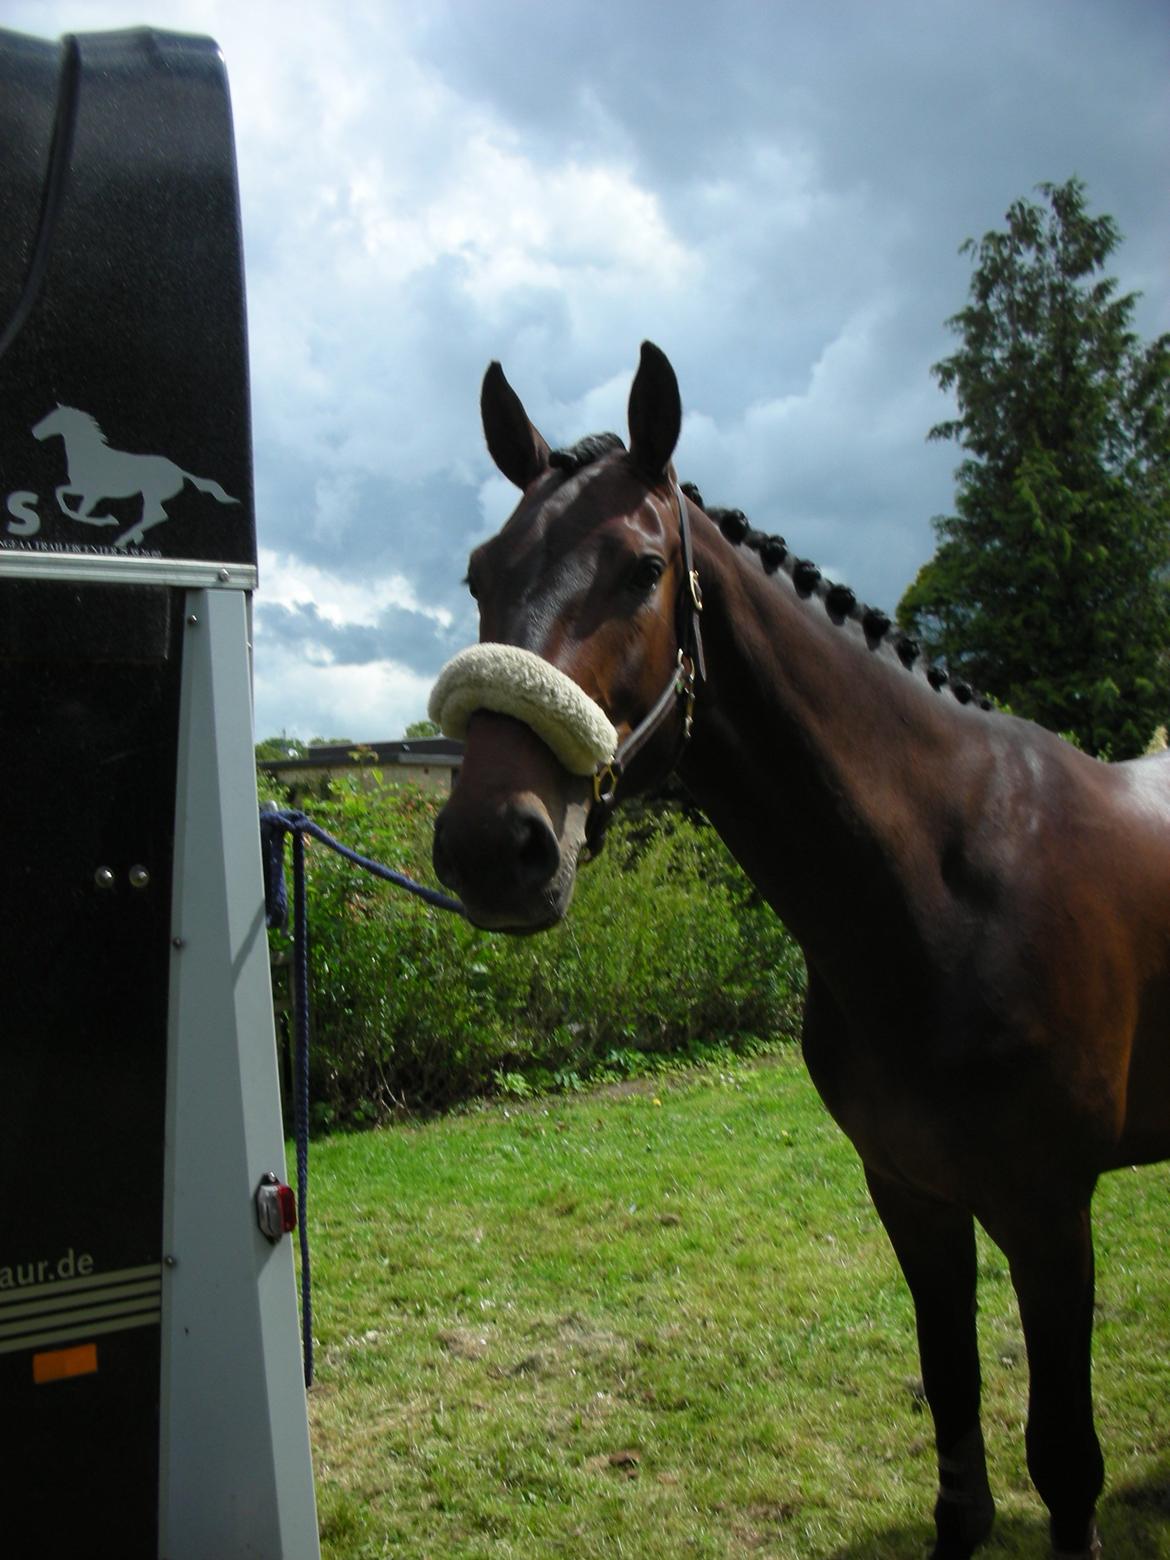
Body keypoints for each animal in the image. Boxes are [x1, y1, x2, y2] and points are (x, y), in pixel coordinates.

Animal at [430, 341, 1170, 1560]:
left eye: (641, 569)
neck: (948, 887)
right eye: (480, 573)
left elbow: (1066, 1464)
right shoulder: (912, 1193)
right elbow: (956, 1434)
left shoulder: (1049, 1213)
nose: (494, 846)